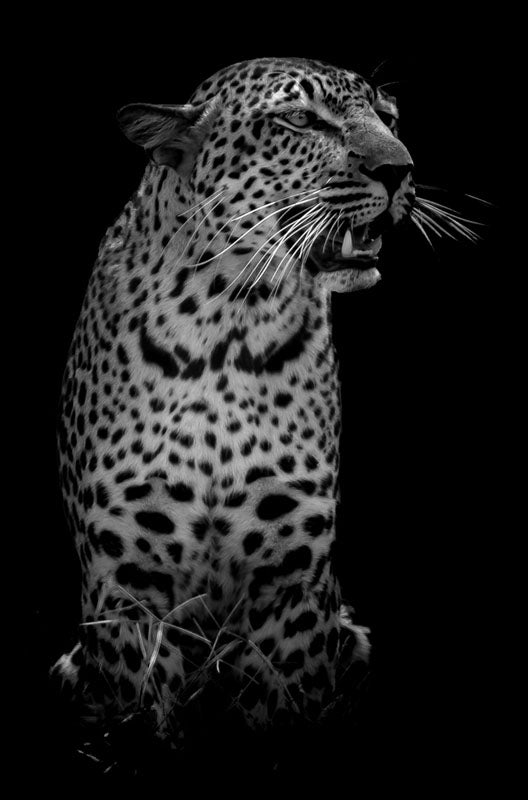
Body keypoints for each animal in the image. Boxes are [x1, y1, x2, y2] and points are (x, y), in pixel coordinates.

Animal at [53, 56, 415, 739]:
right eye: (300, 119)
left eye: (389, 117)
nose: (401, 168)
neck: (228, 322)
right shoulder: (126, 584)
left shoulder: (293, 585)